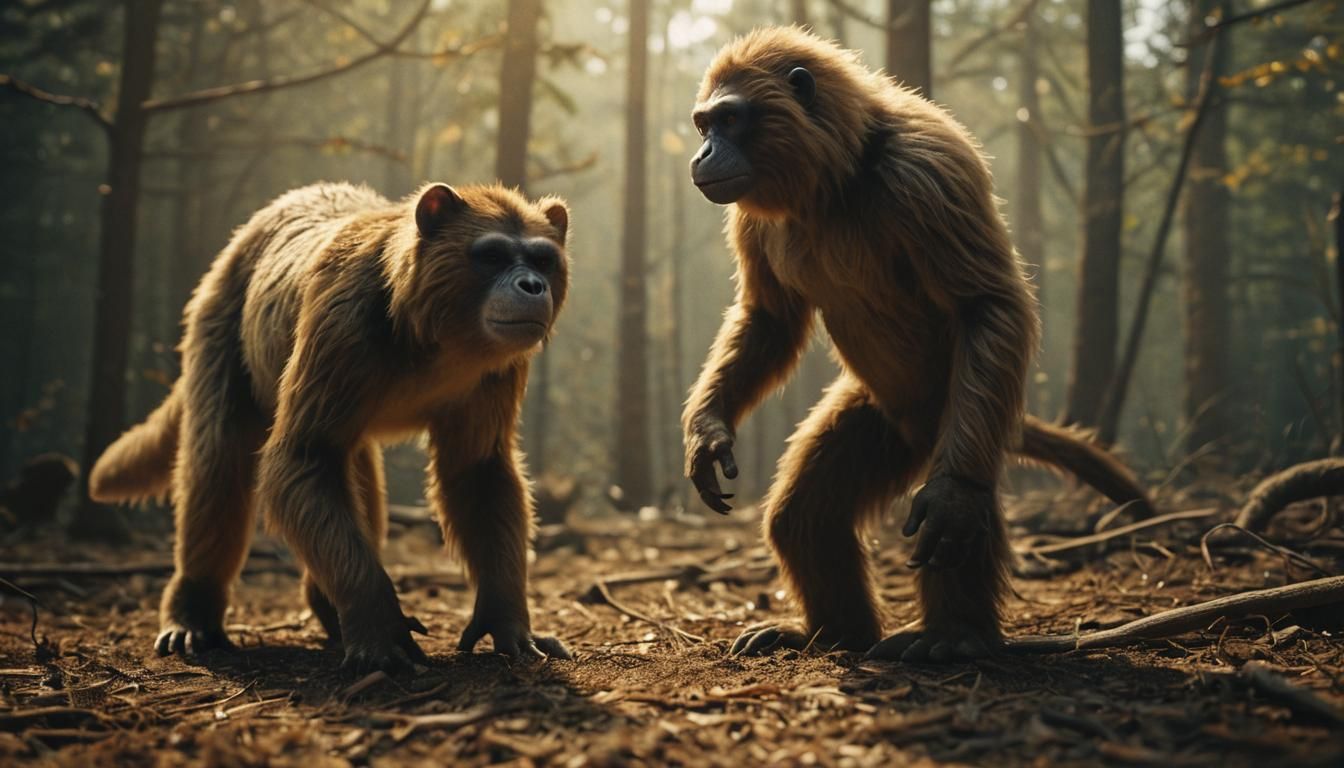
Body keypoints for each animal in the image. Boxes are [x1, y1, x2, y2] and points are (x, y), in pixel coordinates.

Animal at [89, 181, 573, 672]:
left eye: (542, 260)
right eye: (492, 255)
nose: (532, 285)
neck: (434, 332)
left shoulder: (501, 366)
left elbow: (477, 472)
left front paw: (505, 618)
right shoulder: (342, 318)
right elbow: (303, 457)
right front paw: (378, 625)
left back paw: (326, 607)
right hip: (218, 320)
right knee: (218, 464)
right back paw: (194, 610)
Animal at [682, 27, 1151, 663]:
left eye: (729, 120)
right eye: (705, 124)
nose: (701, 156)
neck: (837, 181)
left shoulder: (926, 173)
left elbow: (985, 306)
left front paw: (952, 505)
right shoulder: (754, 213)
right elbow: (769, 319)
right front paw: (709, 429)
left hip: (970, 417)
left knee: (961, 509)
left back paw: (958, 633)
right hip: (888, 417)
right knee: (805, 514)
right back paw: (836, 632)